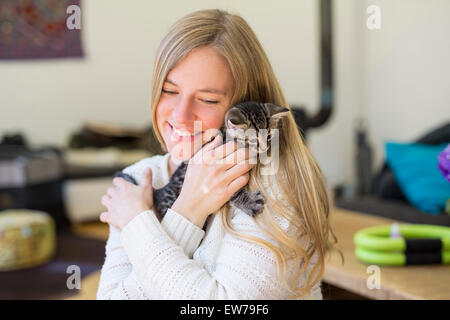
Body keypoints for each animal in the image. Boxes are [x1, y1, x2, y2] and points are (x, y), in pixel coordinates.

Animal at [115, 101, 288, 221]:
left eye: (268, 137)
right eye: (254, 140)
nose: (265, 148)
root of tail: (160, 191)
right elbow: (234, 192)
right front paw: (249, 202)